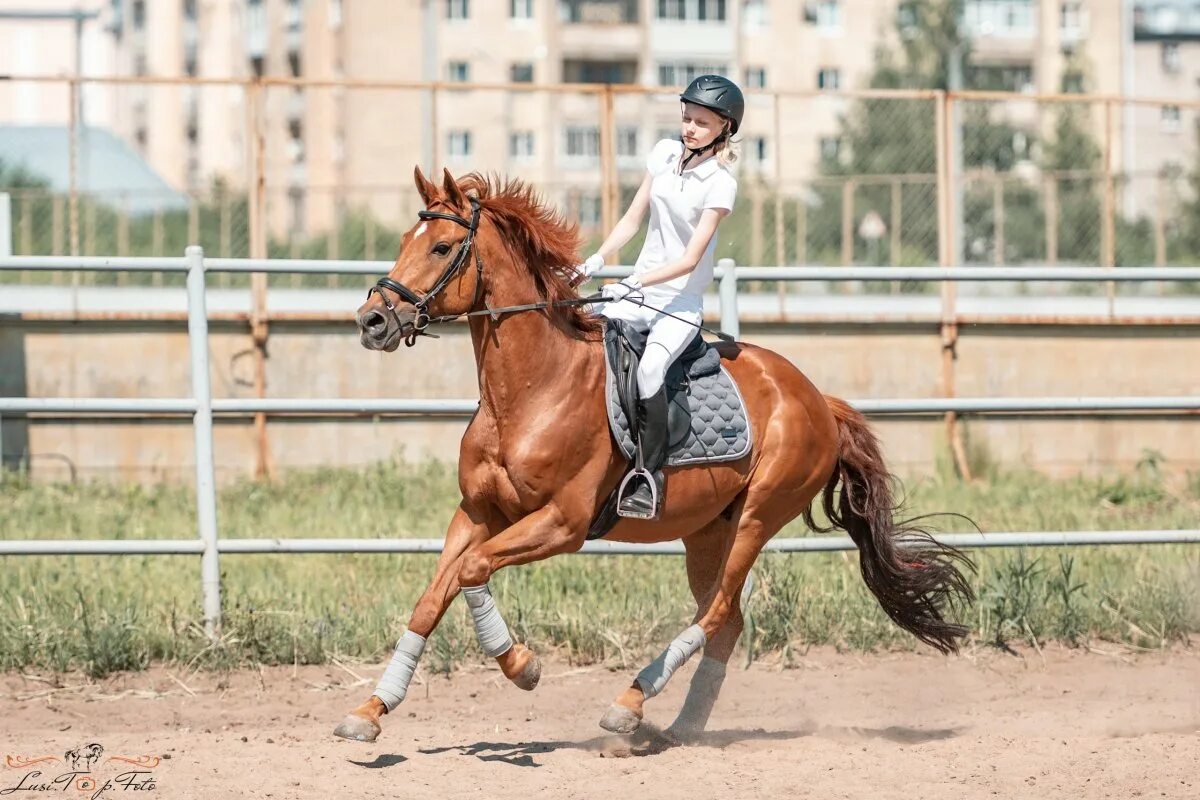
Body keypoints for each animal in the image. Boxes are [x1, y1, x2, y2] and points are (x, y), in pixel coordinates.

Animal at [333, 167, 969, 743]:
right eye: (404, 241)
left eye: (441, 247)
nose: (372, 321)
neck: (530, 389)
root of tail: (816, 397)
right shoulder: (476, 513)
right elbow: (431, 598)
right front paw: (370, 712)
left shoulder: (562, 523)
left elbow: (472, 571)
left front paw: (522, 666)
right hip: (708, 531)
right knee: (726, 620)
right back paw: (683, 725)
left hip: (757, 517)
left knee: (717, 611)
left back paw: (629, 705)